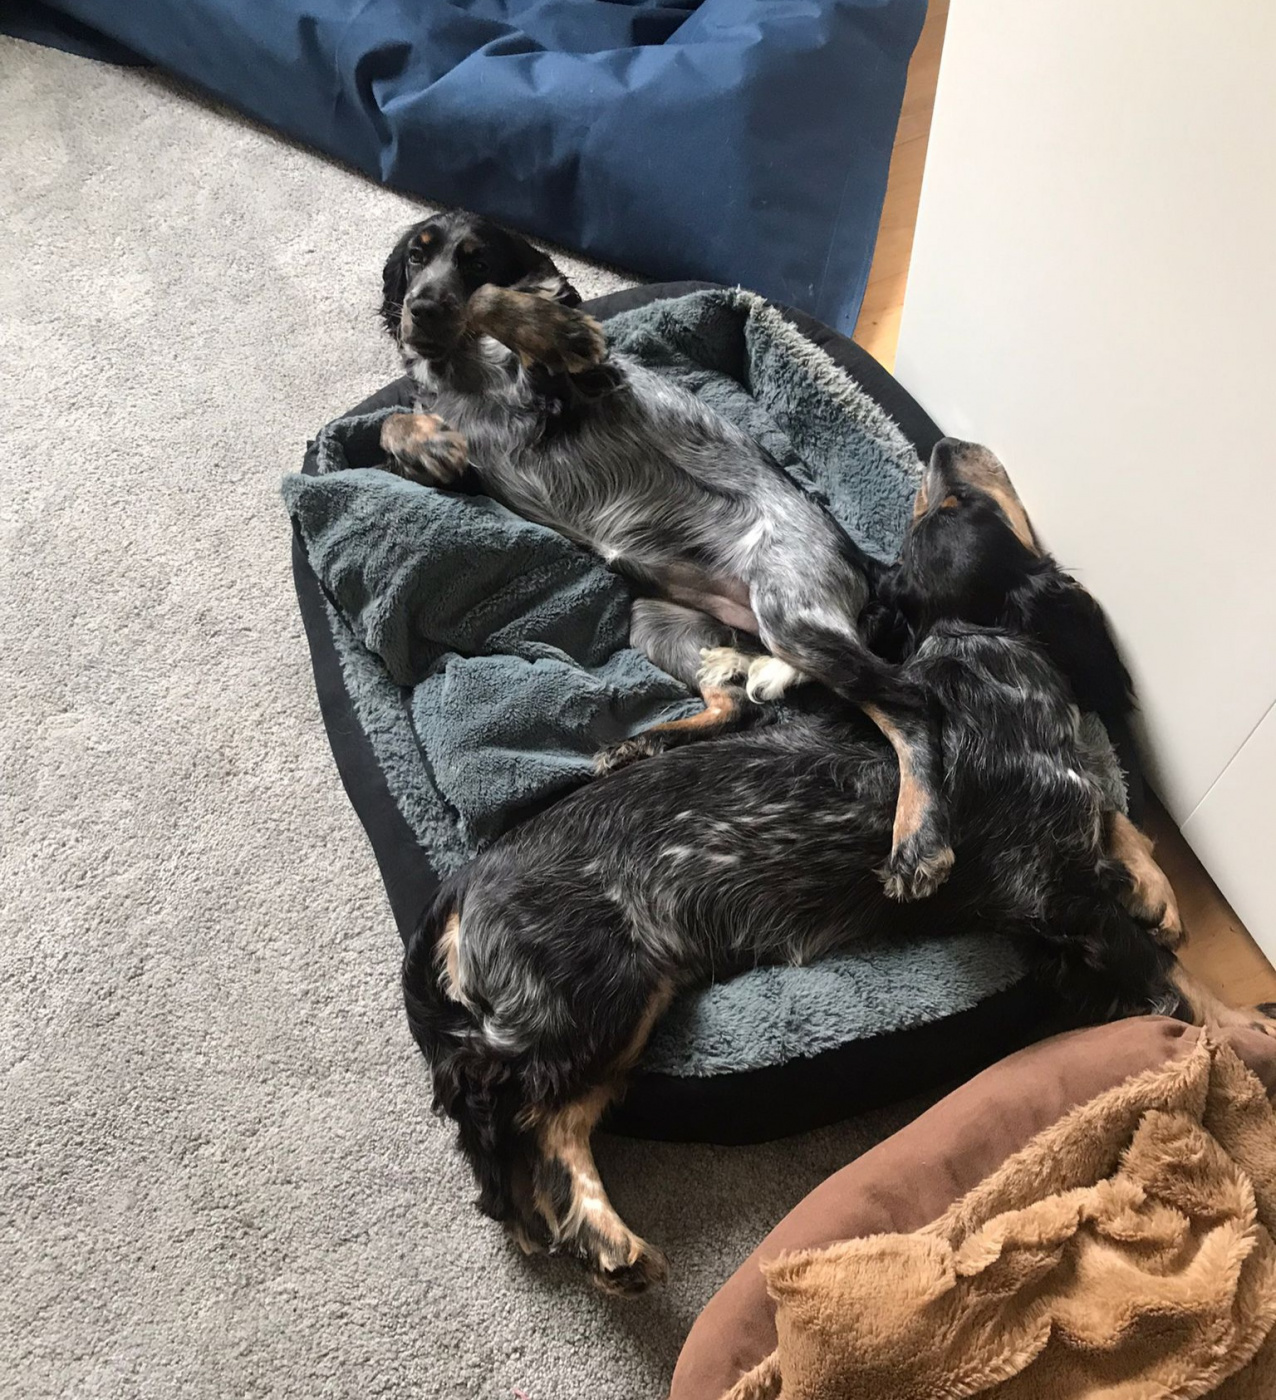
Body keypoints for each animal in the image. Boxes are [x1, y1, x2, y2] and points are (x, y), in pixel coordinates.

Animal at [377, 212, 952, 901]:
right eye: (416, 258)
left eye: (476, 260)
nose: (422, 309)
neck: (464, 372)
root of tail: (865, 563)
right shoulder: (477, 470)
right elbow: (391, 424)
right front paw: (427, 441)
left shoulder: (579, 384)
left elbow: (503, 310)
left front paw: (556, 319)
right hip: (656, 620)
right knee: (734, 704)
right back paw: (646, 742)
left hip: (792, 611)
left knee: (909, 704)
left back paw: (920, 843)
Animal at [401, 437, 1274, 1294]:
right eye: (963, 503)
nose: (947, 442)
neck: (985, 658)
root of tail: (466, 883)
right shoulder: (1054, 894)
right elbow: (1173, 977)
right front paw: (1245, 1027)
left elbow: (1116, 821)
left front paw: (1156, 886)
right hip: (593, 997)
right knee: (503, 1113)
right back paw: (584, 1230)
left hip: (618, 1016)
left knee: (554, 1123)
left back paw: (591, 1236)